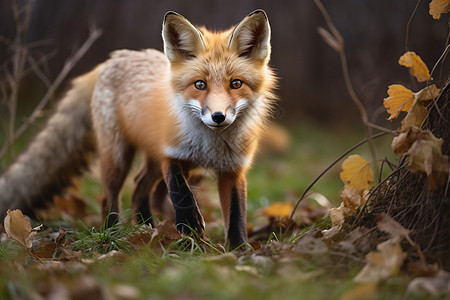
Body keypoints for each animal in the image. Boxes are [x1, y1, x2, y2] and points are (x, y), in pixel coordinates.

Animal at [0, 9, 274, 248]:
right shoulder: (171, 154)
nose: (218, 117)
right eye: (200, 85)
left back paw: (148, 228)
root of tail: (113, 59)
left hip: (155, 163)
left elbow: (237, 215)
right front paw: (191, 227)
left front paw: (240, 250)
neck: (212, 144)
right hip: (118, 157)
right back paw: (112, 233)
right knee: (110, 197)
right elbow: (182, 194)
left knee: (139, 187)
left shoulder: (233, 169)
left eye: (236, 84)